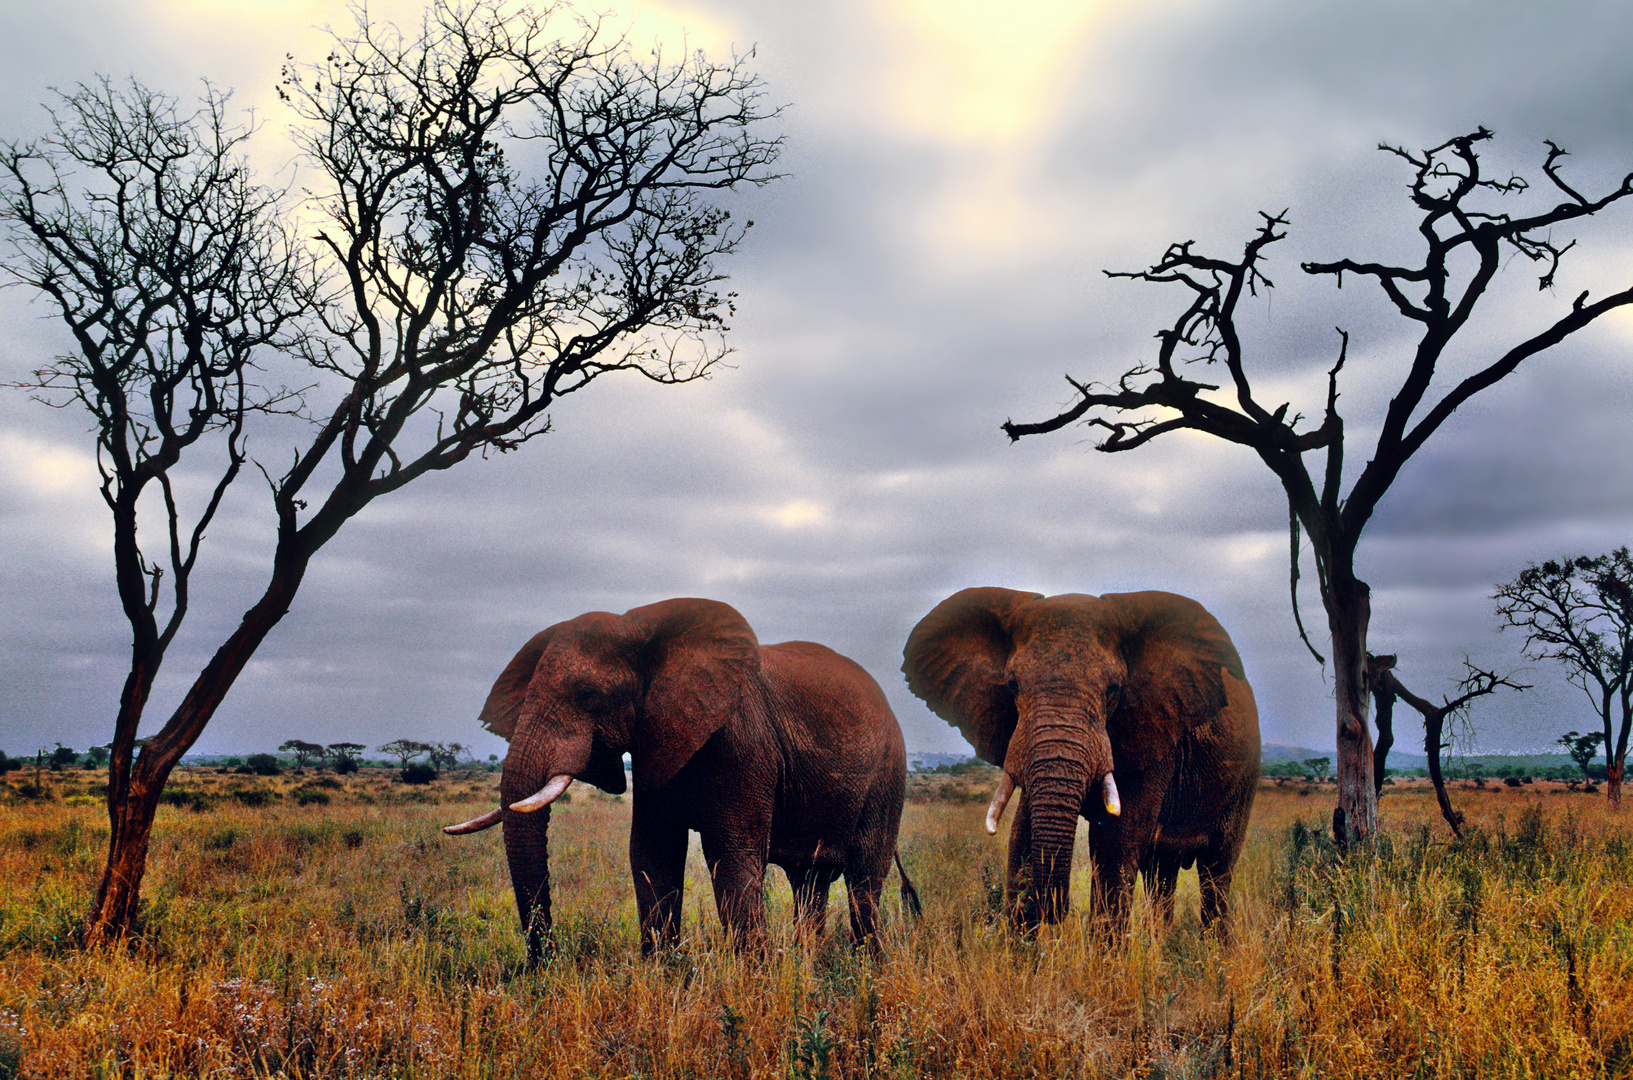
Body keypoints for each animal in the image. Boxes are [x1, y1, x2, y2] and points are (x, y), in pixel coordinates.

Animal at [440, 594, 921, 954]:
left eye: (589, 696)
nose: (542, 966)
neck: (641, 629)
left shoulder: (740, 739)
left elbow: (730, 855)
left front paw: (752, 986)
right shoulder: (656, 736)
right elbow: (652, 852)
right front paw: (664, 976)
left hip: (887, 777)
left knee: (864, 880)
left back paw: (865, 969)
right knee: (810, 883)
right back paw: (809, 962)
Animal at [901, 584, 1254, 928]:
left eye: (1114, 689)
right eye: (1012, 686)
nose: (1058, 910)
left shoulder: (1153, 732)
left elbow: (1113, 845)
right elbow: (1021, 837)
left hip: (1242, 783)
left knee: (1216, 871)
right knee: (1161, 873)